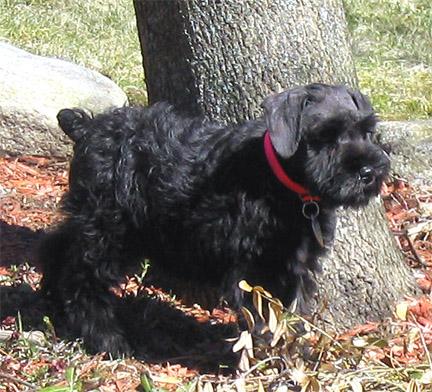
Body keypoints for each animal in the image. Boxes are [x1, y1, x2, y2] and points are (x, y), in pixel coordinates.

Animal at [38, 83, 390, 358]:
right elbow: (263, 320)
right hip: (109, 230)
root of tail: (88, 127)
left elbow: (293, 315)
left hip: (94, 223)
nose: (369, 172)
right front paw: (267, 360)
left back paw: (53, 304)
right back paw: (107, 339)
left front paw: (297, 355)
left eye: (366, 131)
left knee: (58, 247)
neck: (277, 180)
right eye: (326, 136)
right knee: (83, 278)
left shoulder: (297, 266)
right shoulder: (253, 271)